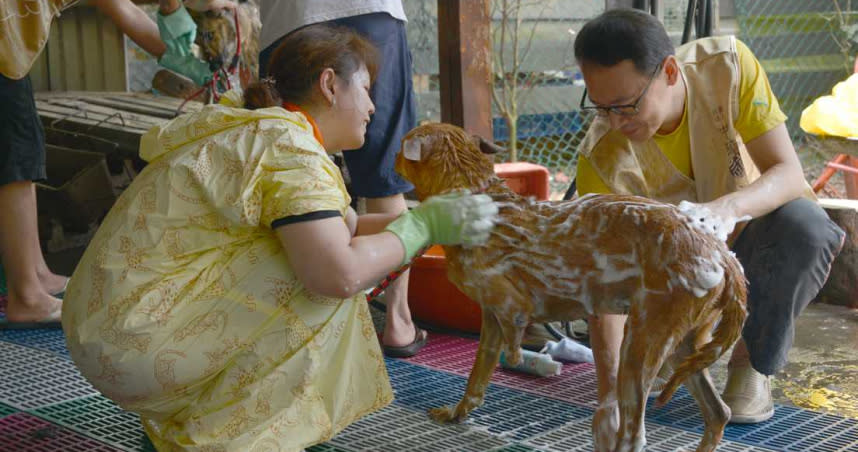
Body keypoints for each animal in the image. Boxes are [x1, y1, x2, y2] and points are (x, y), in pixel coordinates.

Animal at [392, 122, 744, 452]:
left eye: (402, 142)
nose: (391, 157)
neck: (472, 195)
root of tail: (723, 255)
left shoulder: (510, 308)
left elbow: (512, 347)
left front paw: (518, 357)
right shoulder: (490, 318)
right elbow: (477, 378)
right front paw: (457, 412)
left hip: (640, 346)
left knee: (634, 436)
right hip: (682, 347)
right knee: (718, 413)